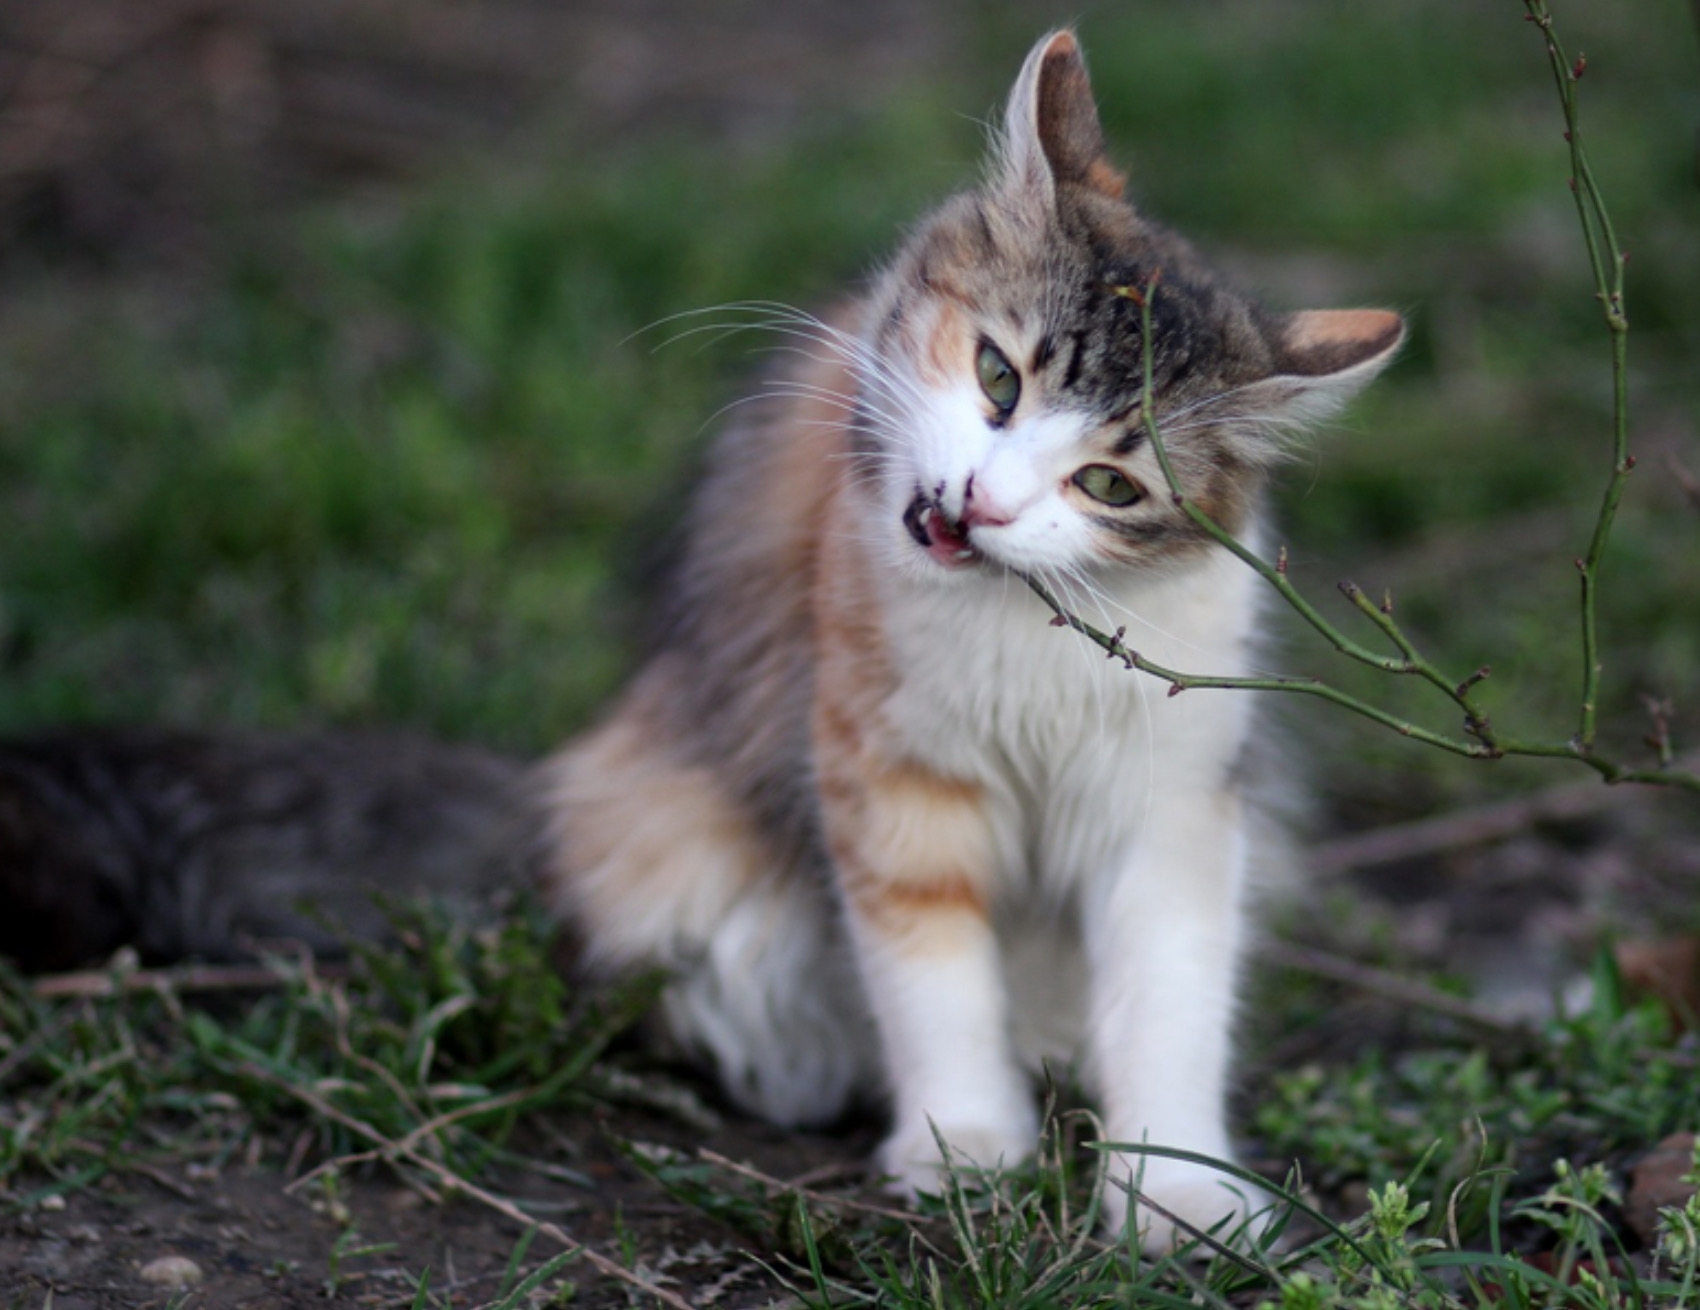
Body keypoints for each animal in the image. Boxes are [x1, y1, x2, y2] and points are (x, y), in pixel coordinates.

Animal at [537, 28, 1400, 1250]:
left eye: (1108, 485)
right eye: (998, 375)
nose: (983, 503)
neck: (1028, 629)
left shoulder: (1170, 806)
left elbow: (1171, 999)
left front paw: (1170, 1190)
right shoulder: (893, 777)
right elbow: (932, 985)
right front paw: (964, 1148)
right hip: (654, 844)